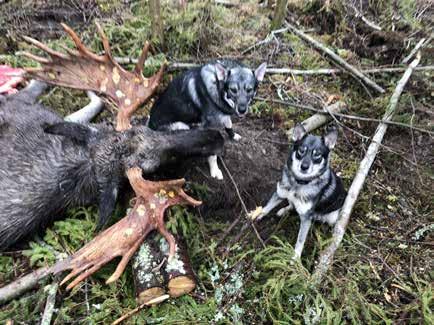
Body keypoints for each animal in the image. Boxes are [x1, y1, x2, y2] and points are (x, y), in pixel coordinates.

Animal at [254, 123, 346, 256]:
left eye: (317, 154)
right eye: (301, 150)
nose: (304, 167)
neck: (298, 183)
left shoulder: (306, 218)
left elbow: (300, 240)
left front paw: (295, 257)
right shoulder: (280, 193)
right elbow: (268, 206)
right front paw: (259, 214)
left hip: (331, 217)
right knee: (292, 206)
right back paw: (284, 210)